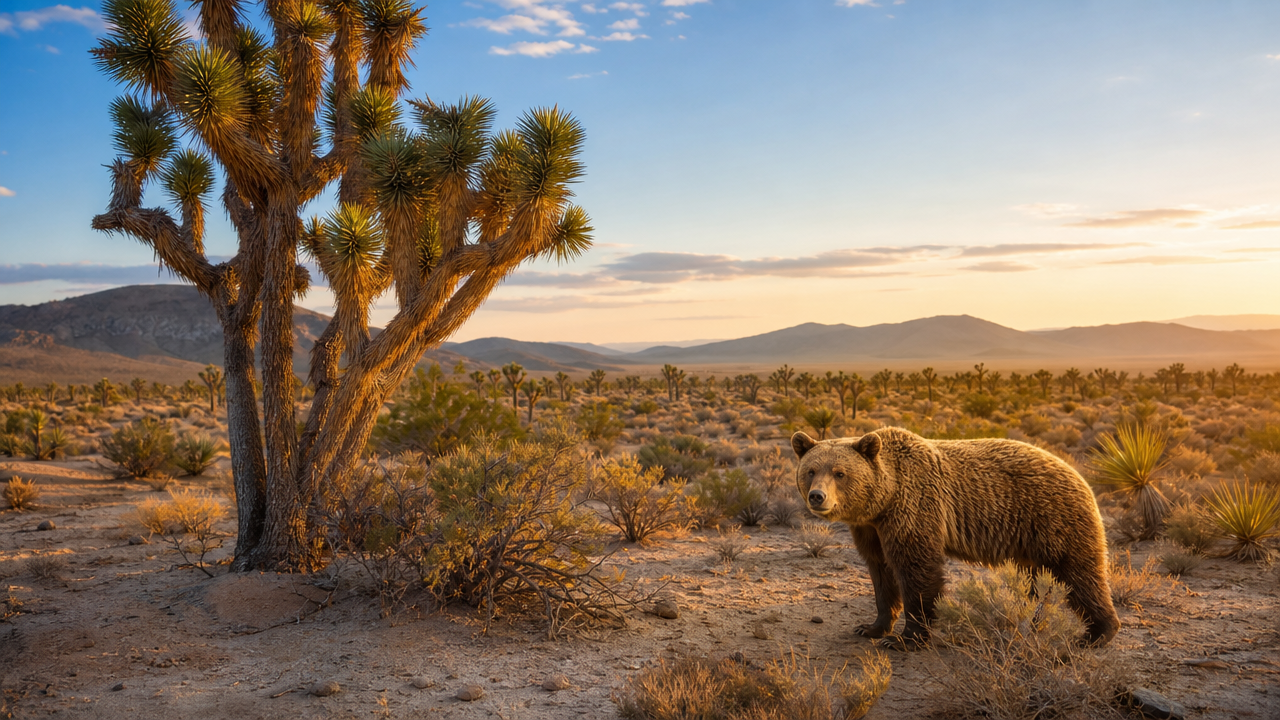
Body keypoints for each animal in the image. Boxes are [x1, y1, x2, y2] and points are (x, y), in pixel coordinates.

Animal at [791, 426, 1119, 650]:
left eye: (840, 473)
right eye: (810, 470)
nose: (817, 496)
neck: (886, 499)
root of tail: (1079, 475)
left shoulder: (914, 508)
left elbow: (917, 569)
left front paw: (906, 638)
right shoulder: (870, 528)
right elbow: (881, 572)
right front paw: (871, 627)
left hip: (1055, 520)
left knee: (1080, 574)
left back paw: (1096, 634)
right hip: (1030, 542)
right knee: (1033, 582)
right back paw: (1029, 620)